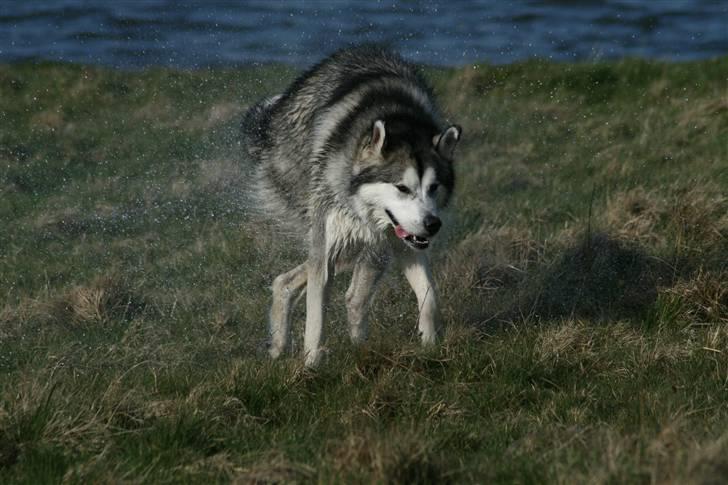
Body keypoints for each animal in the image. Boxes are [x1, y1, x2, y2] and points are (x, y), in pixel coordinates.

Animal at [242, 45, 464, 364]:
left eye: (434, 187)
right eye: (402, 188)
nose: (433, 225)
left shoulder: (406, 241)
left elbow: (429, 295)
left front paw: (430, 345)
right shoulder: (328, 250)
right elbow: (316, 318)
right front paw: (310, 365)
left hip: (367, 247)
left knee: (334, 291)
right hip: (328, 229)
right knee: (306, 276)